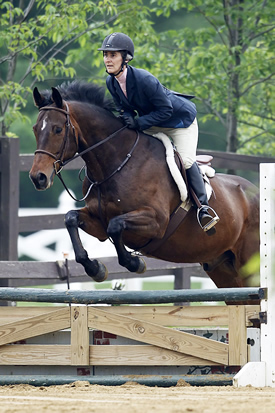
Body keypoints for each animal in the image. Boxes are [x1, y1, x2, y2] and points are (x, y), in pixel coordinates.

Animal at [30, 80, 260, 300]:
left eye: (57, 129)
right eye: (35, 129)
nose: (38, 178)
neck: (117, 163)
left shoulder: (156, 222)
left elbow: (116, 226)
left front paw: (135, 263)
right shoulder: (98, 223)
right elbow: (70, 218)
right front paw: (96, 268)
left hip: (249, 263)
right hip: (222, 268)